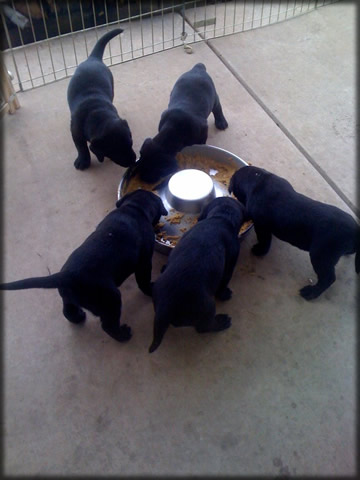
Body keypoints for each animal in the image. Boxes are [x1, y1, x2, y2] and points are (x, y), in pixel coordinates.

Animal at [0, 189, 167, 344]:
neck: (135, 208)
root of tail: (66, 276)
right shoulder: (144, 263)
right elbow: (143, 281)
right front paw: (151, 289)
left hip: (69, 297)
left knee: (68, 311)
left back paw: (79, 317)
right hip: (111, 299)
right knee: (108, 325)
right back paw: (123, 334)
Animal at [67, 28, 136, 171]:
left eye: (131, 142)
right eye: (116, 151)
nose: (133, 160)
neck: (96, 113)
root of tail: (93, 58)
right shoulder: (75, 131)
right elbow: (81, 147)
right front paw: (83, 161)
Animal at [149, 197, 245, 354]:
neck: (221, 217)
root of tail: (165, 307)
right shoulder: (230, 263)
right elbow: (224, 282)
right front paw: (225, 294)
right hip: (208, 307)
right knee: (203, 327)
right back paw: (221, 322)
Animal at [229, 167, 358, 298]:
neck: (259, 178)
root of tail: (355, 230)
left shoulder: (261, 226)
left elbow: (264, 241)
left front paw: (259, 250)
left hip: (321, 255)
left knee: (328, 278)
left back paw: (311, 292)